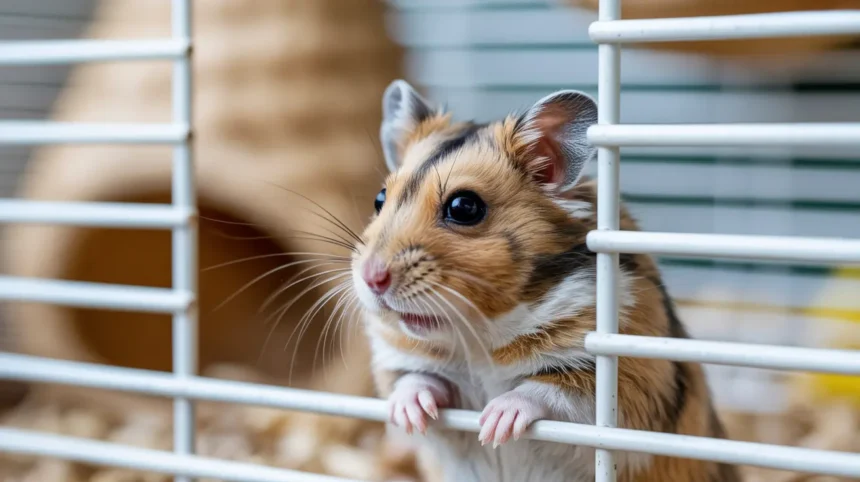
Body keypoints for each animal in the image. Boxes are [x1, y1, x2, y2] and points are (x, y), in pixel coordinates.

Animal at [350, 79, 740, 482]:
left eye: (464, 207)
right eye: (380, 198)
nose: (371, 278)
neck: (477, 336)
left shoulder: (624, 378)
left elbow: (547, 390)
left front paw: (494, 424)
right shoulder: (397, 360)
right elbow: (411, 380)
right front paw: (411, 416)